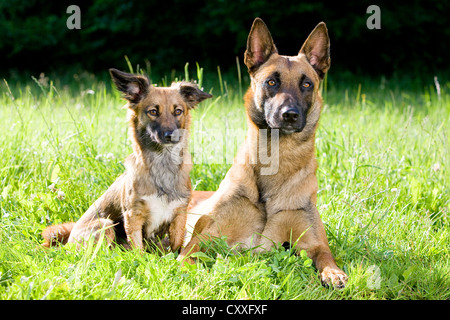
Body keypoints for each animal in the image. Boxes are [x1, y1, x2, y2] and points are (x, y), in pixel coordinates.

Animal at [42, 68, 211, 252]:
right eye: (153, 111)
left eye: (178, 111)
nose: (171, 135)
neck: (162, 163)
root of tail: (68, 242)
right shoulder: (133, 215)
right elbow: (138, 250)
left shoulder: (179, 214)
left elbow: (176, 244)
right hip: (105, 224)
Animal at [179, 17, 348, 288]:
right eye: (271, 82)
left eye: (307, 84)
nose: (289, 115)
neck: (277, 158)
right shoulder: (203, 239)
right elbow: (188, 257)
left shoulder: (314, 242)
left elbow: (325, 256)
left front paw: (334, 274)